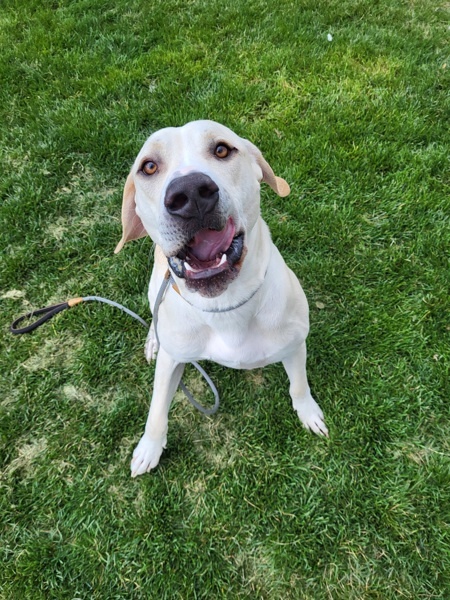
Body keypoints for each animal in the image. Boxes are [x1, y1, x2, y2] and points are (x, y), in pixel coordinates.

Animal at [114, 120, 328, 478]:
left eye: (222, 149)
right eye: (149, 166)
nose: (189, 193)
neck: (224, 307)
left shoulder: (295, 345)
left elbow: (298, 386)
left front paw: (308, 413)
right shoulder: (172, 362)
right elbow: (157, 409)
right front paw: (149, 448)